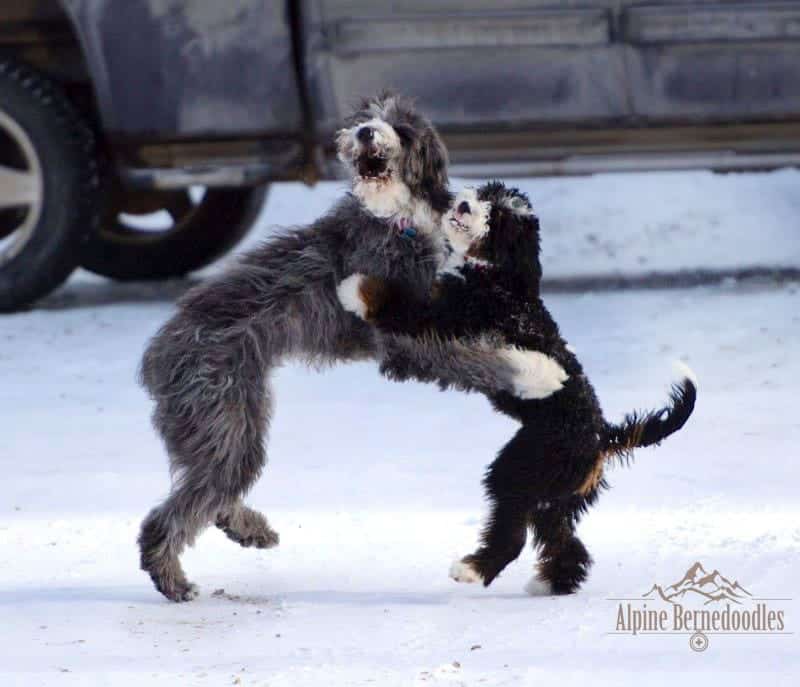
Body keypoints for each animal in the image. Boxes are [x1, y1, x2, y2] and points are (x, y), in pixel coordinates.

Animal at [139, 92, 564, 600]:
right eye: (364, 118)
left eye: (401, 128)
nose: (364, 133)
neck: (394, 218)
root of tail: (156, 357)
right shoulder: (399, 338)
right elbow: (470, 356)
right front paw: (539, 372)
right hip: (218, 414)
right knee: (173, 513)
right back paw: (173, 580)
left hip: (237, 419)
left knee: (214, 491)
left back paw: (250, 530)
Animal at [340, 183, 696, 596]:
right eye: (485, 194)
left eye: (500, 220)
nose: (464, 204)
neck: (498, 279)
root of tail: (601, 435)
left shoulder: (446, 317)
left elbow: (401, 303)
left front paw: (353, 289)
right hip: (558, 496)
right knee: (564, 541)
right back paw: (548, 584)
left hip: (521, 469)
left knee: (513, 533)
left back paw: (472, 570)